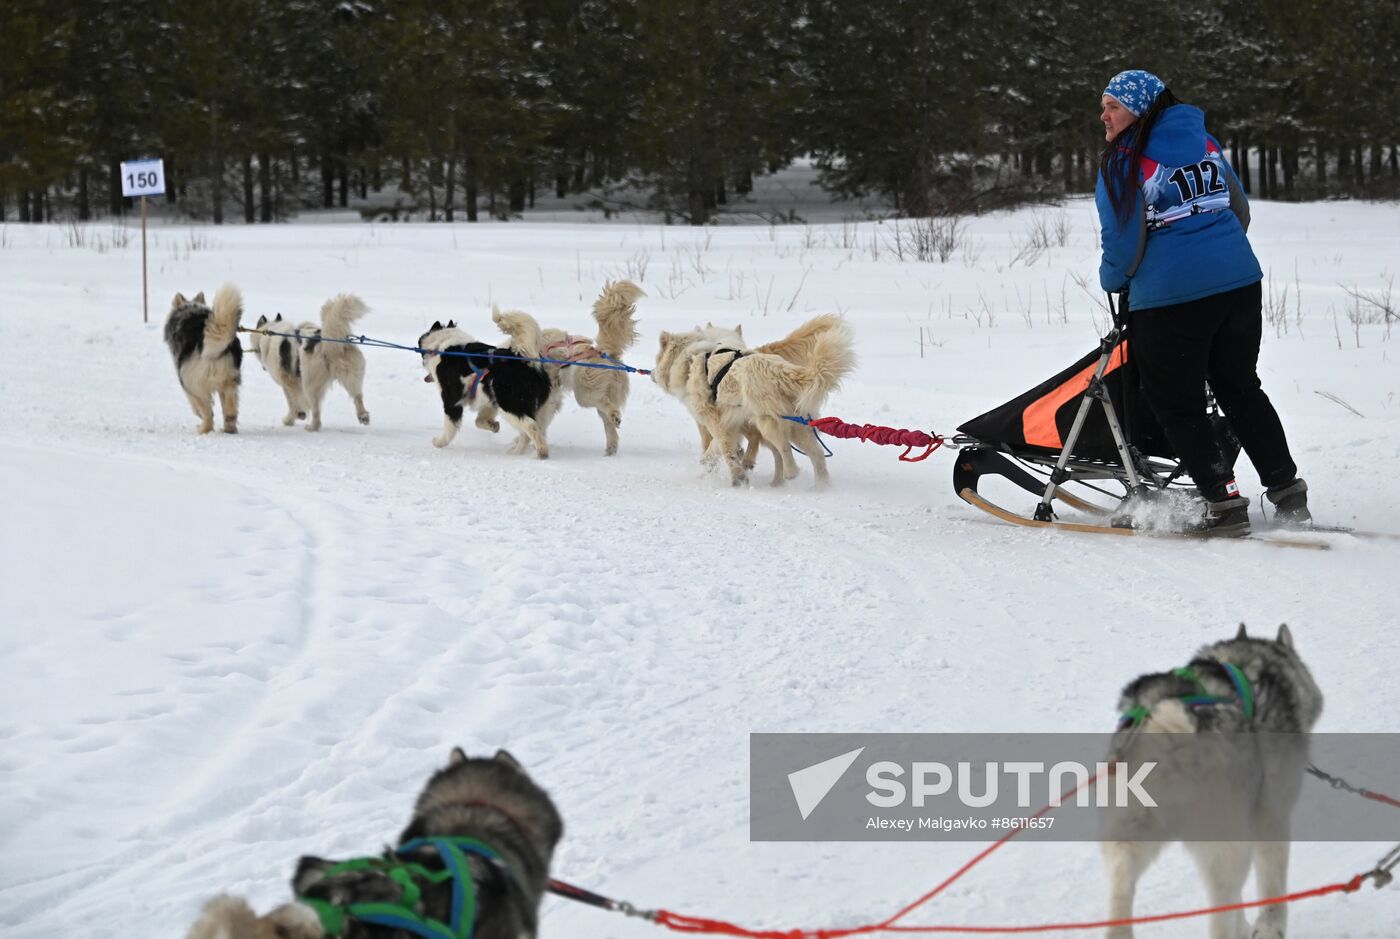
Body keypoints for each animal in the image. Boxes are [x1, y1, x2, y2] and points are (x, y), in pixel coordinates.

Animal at [163, 284, 243, 436]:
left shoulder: (186, 381)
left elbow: (194, 405)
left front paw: (198, 414)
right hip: (229, 376)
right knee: (230, 400)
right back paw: (230, 425)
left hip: (192, 383)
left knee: (207, 411)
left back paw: (204, 429)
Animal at [250, 295, 372, 431]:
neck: (271, 332)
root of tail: (327, 341)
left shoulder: (287, 381)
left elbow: (292, 401)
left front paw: (293, 417)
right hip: (351, 375)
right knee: (358, 396)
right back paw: (363, 416)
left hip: (310, 383)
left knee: (316, 410)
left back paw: (312, 426)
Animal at [1103, 624, 1321, 939]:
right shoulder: (1272, 814)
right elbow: (1271, 882)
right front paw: (1269, 925)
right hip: (1227, 844)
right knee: (1221, 909)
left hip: (1128, 838)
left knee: (1122, 888)